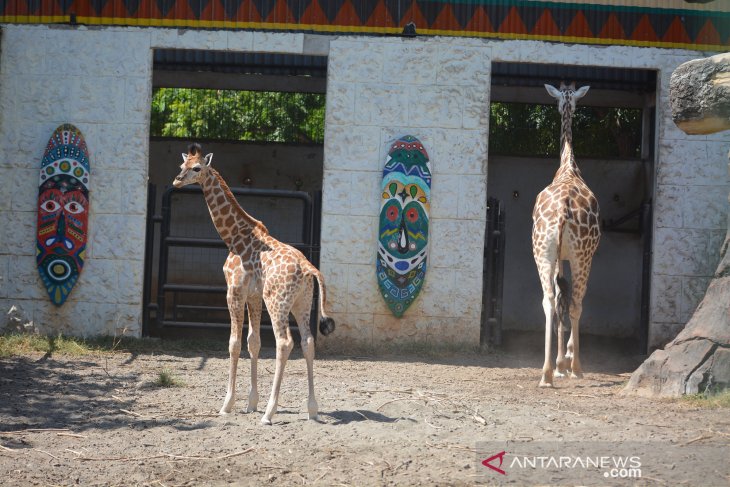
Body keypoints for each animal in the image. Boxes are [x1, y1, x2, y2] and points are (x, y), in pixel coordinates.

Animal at [173, 143, 336, 426]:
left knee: (285, 343)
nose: (176, 180)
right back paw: (312, 409)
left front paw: (227, 404)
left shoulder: (234, 291)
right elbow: (254, 342)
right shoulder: (254, 295)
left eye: (197, 168)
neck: (234, 236)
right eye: (182, 165)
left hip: (278, 302)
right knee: (307, 341)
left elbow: (234, 343)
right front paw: (251, 403)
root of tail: (309, 269)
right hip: (302, 303)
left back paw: (270, 413)